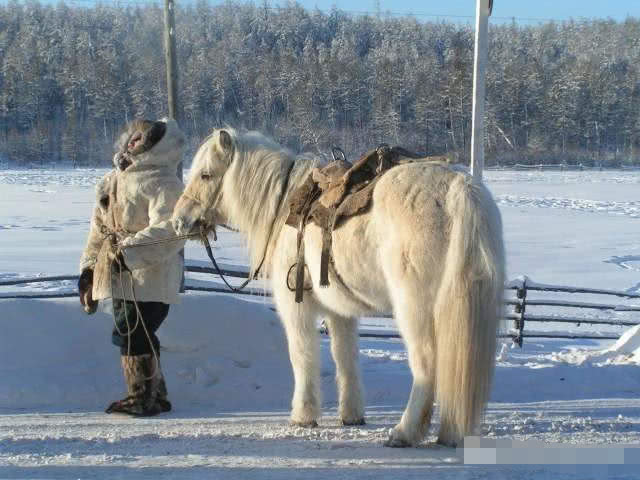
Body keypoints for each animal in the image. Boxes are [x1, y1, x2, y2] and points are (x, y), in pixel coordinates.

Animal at [174, 128, 504, 446]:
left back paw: (405, 432)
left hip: (415, 309)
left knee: (428, 365)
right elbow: (345, 357)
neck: (284, 207)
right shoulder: (340, 311)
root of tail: (460, 188)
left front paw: (303, 416)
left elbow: (303, 355)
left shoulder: (297, 306)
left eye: (205, 175)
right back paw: (451, 432)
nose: (178, 221)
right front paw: (352, 415)